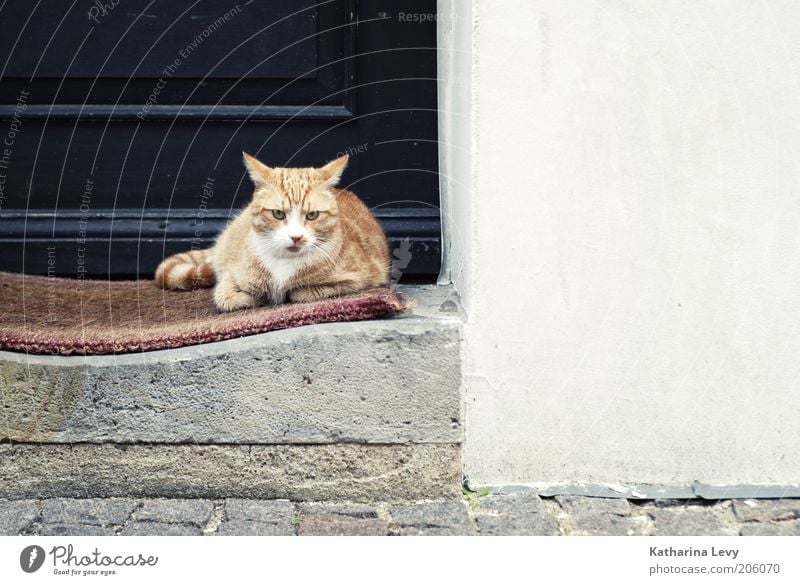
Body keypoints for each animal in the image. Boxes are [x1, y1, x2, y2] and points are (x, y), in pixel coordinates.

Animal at [154, 153, 390, 312]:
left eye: (312, 215)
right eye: (278, 214)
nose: (296, 237)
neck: (283, 262)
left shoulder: (360, 277)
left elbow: (301, 293)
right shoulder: (230, 277)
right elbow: (224, 297)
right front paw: (257, 298)